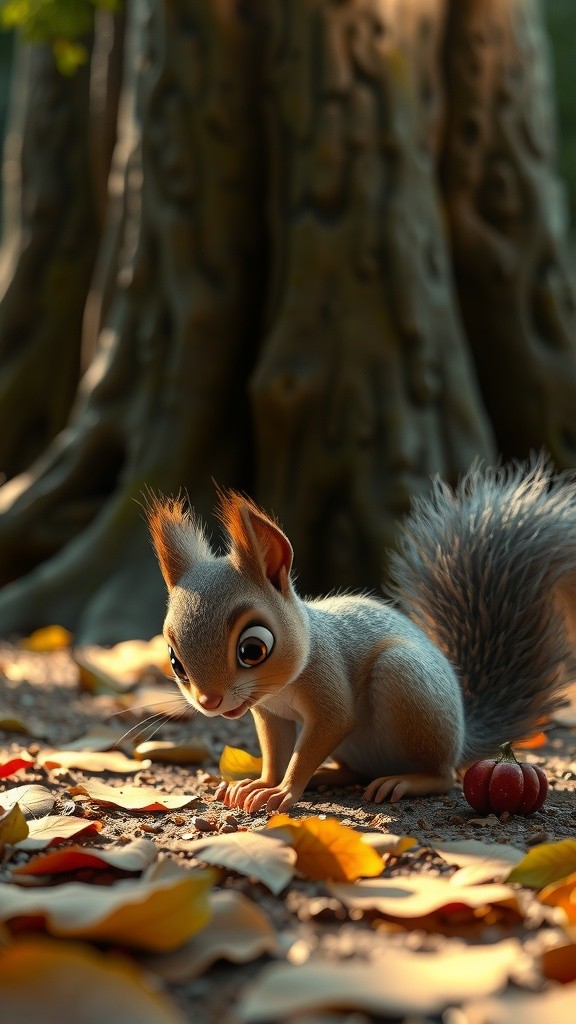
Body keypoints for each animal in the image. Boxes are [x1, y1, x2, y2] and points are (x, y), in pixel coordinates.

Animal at [147, 456, 576, 815]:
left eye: (253, 649)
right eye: (174, 661)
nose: (210, 701)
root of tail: (462, 737)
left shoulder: (326, 679)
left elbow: (327, 727)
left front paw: (282, 792)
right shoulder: (269, 711)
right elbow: (275, 749)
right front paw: (260, 783)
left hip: (405, 680)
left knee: (443, 776)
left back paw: (406, 781)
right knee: (358, 771)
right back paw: (330, 775)